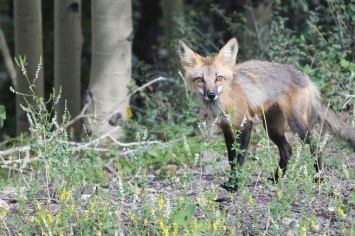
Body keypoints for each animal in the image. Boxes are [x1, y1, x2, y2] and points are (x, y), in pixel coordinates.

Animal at [178, 37, 355, 192]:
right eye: (200, 79)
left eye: (219, 78)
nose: (211, 95)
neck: (225, 103)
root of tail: (305, 77)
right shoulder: (226, 128)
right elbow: (231, 159)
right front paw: (231, 182)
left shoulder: (245, 124)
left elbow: (239, 158)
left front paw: (234, 185)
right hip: (272, 128)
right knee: (287, 150)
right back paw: (277, 179)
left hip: (296, 124)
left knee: (316, 148)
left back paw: (319, 178)